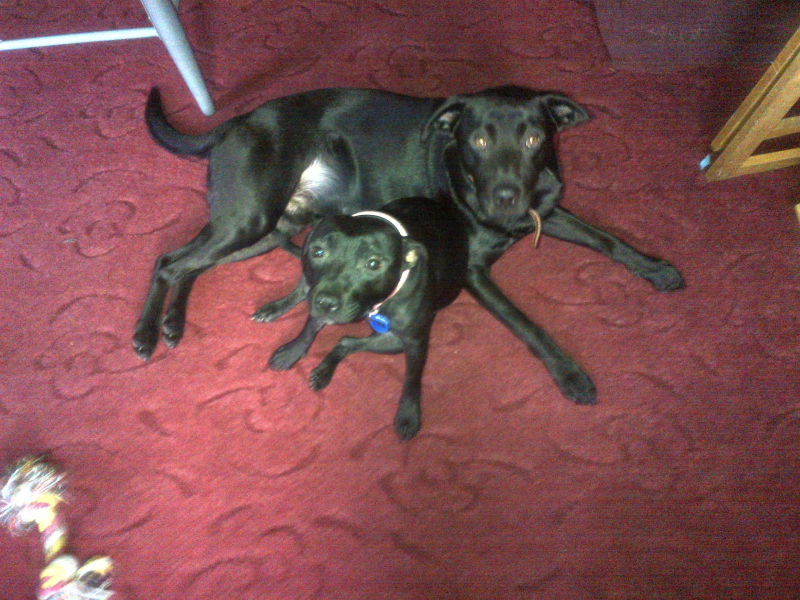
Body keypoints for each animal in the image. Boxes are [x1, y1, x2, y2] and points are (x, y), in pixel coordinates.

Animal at [133, 85, 684, 406]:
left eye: (534, 140)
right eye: (478, 142)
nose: (505, 199)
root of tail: (237, 120)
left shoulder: (545, 210)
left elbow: (607, 239)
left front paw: (656, 269)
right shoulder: (473, 272)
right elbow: (526, 323)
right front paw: (569, 374)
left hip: (270, 224)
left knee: (193, 264)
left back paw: (177, 323)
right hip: (250, 217)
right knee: (168, 260)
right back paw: (147, 332)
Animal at [258, 196, 469, 440]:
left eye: (373, 263)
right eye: (318, 252)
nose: (326, 303)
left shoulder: (415, 342)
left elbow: (412, 378)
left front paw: (408, 413)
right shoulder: (318, 298)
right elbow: (309, 328)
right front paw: (293, 351)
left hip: (393, 342)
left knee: (346, 341)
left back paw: (324, 370)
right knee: (309, 297)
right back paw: (275, 309)